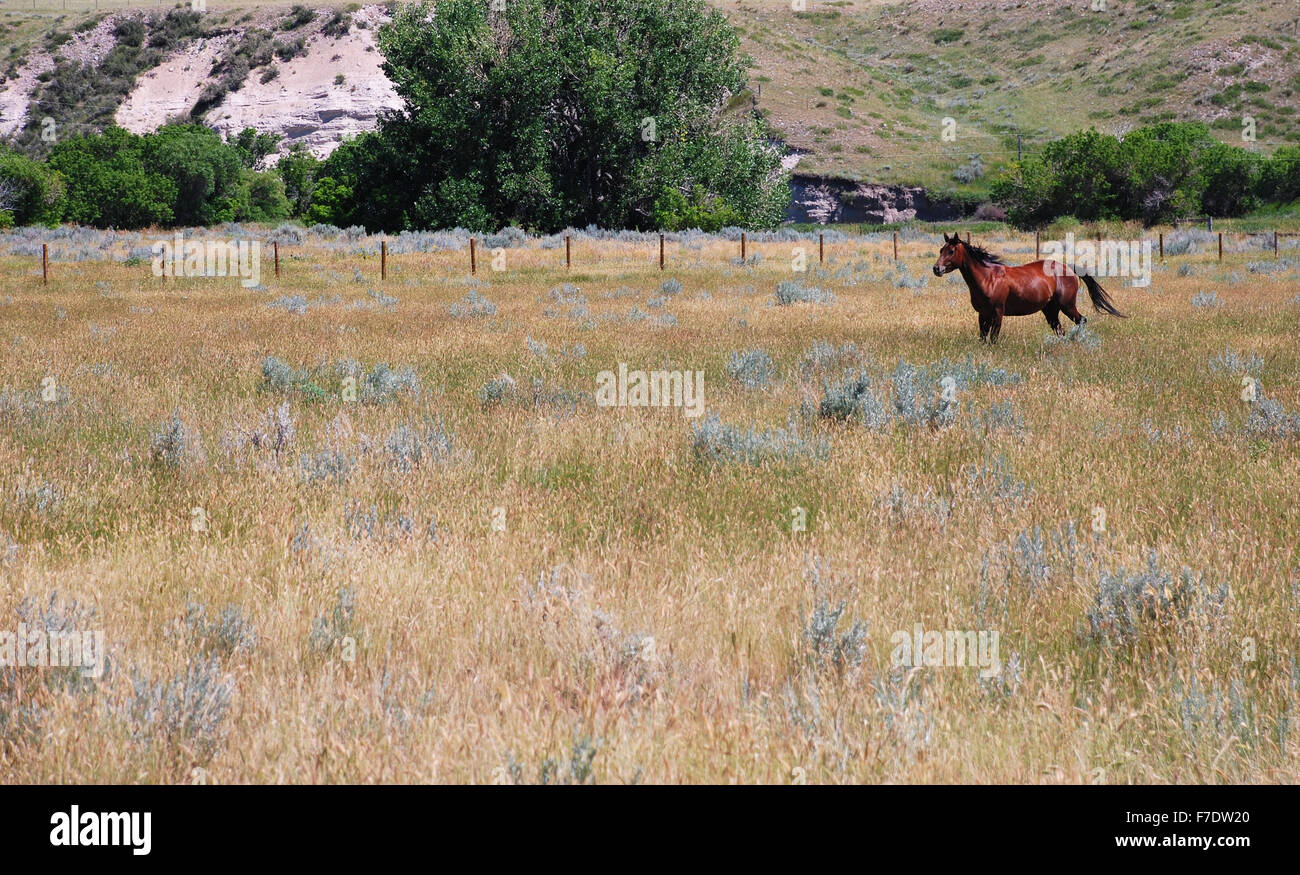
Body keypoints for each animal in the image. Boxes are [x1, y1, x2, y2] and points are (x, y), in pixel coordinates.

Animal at [931, 233, 1125, 342]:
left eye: (951, 251)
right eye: (941, 250)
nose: (936, 269)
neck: (988, 278)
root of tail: (1068, 268)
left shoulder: (997, 312)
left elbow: (993, 338)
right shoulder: (982, 314)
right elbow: (983, 337)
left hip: (1068, 306)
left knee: (1082, 320)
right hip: (1050, 310)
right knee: (1060, 330)